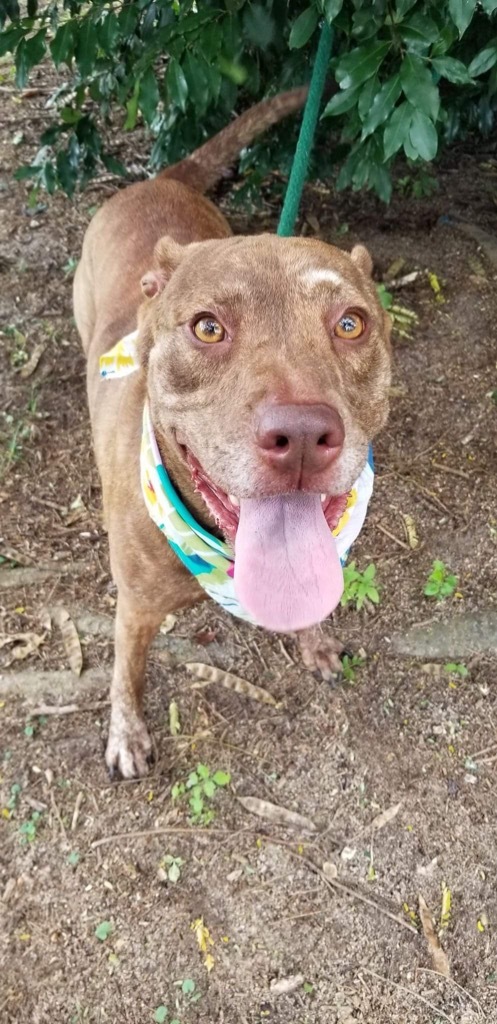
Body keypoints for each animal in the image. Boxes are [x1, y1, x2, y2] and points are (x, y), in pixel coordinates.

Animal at [73, 90, 391, 774]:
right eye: (207, 327)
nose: (302, 435)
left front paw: (313, 642)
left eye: (350, 323)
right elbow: (127, 670)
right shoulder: (134, 608)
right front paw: (126, 732)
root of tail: (161, 179)